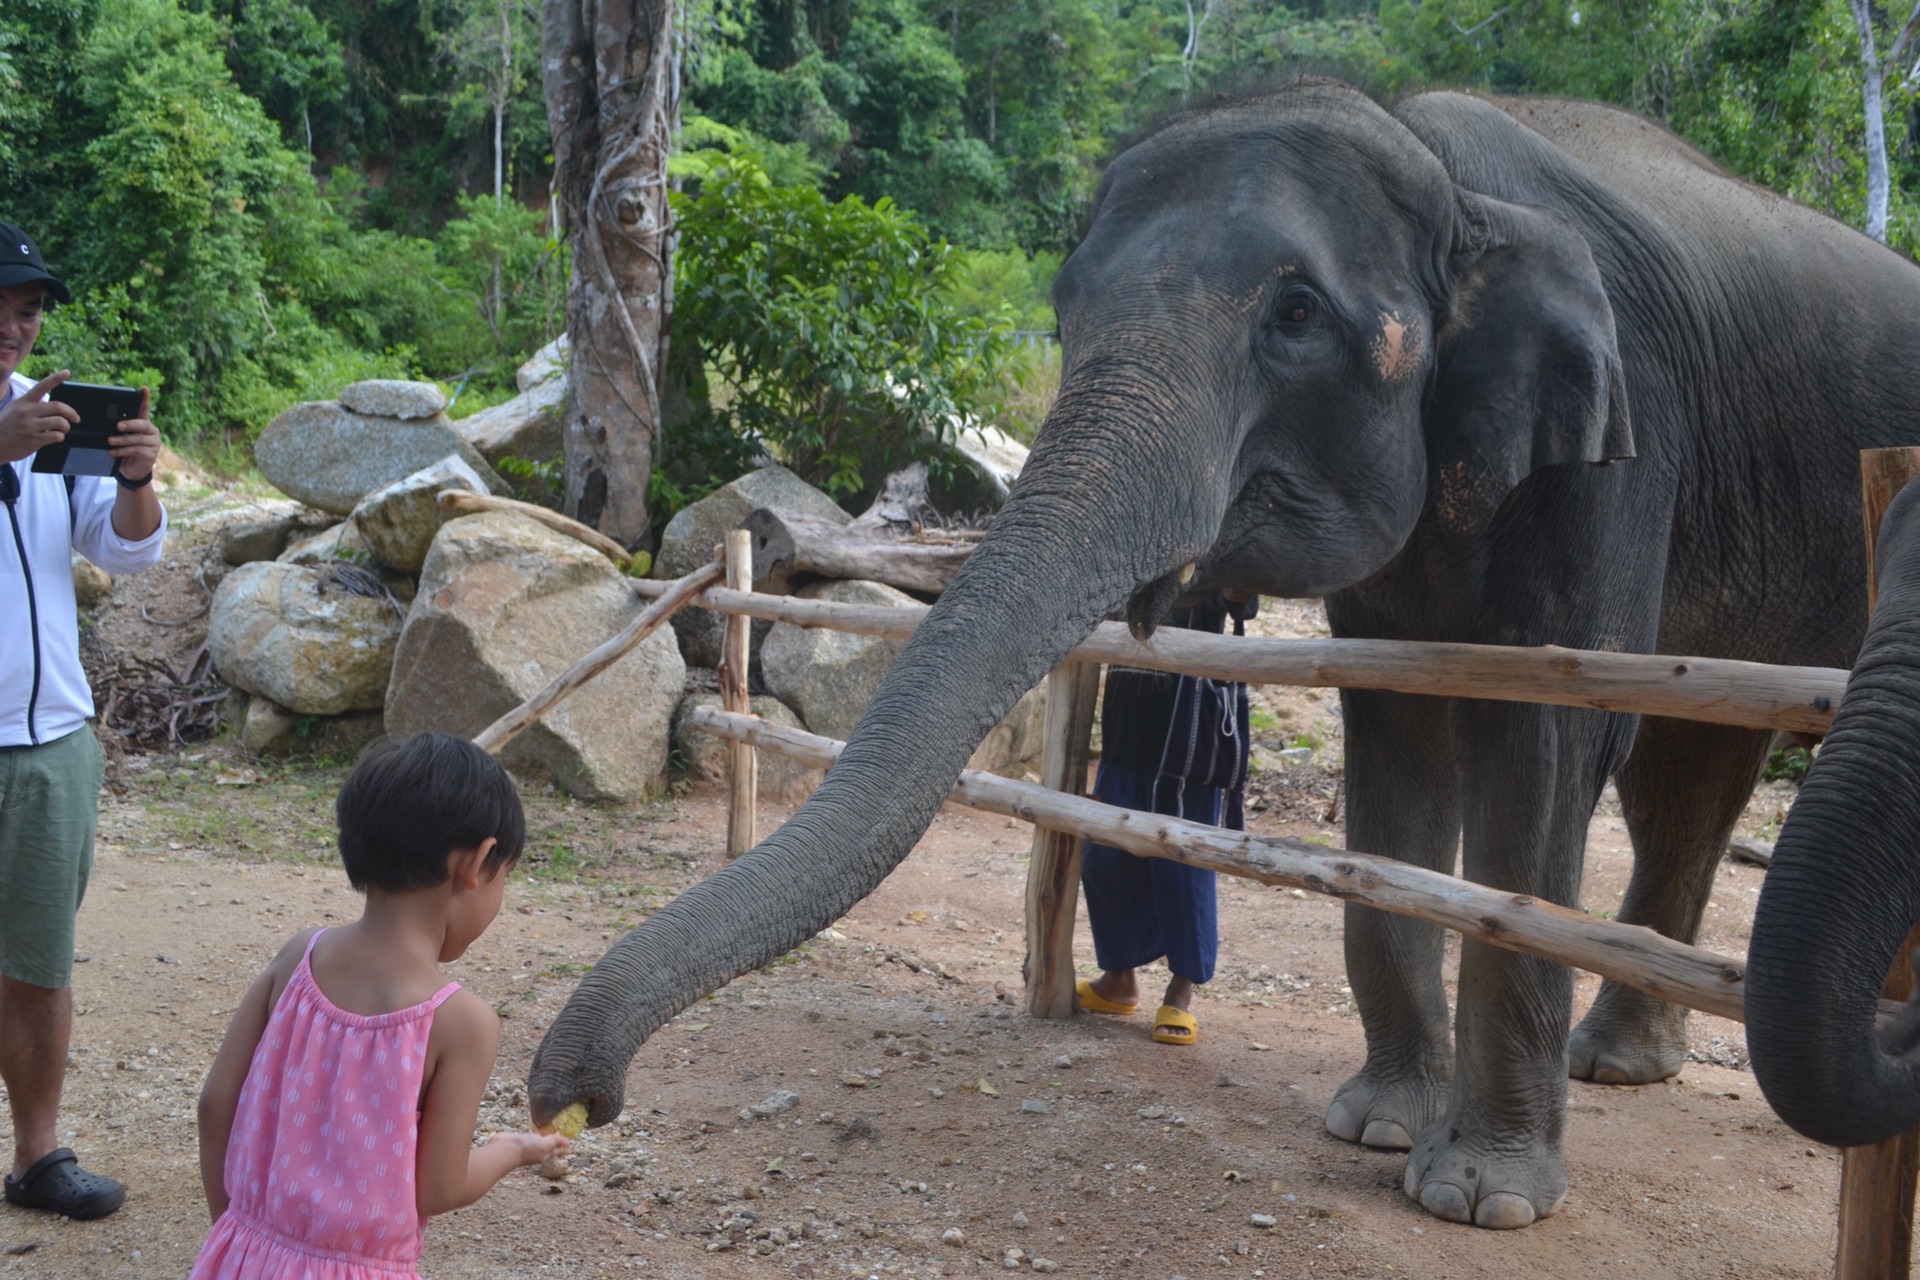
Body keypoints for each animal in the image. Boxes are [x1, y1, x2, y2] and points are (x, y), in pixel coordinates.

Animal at [522, 82, 1920, 1228]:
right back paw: (1618, 1061)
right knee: (1692, 771)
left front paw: (1481, 1195)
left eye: (1296, 315)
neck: (1453, 178)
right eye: (1063, 308)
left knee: (1674, 754)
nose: (565, 1103)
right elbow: (1398, 724)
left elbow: (1547, 740)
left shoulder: (1624, 435)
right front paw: (1376, 1125)